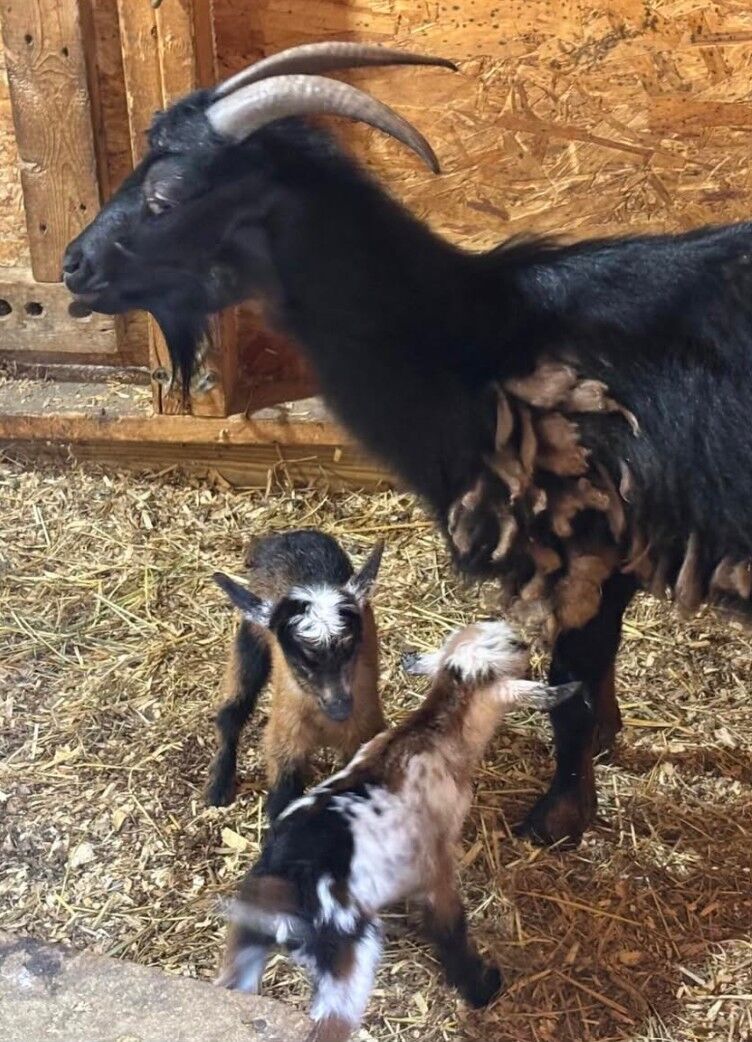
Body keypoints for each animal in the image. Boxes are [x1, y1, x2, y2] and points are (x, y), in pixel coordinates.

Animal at [207, 529, 384, 819]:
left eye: (351, 646)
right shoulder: (283, 748)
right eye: (298, 659)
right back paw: (218, 786)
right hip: (250, 640)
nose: (340, 708)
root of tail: (286, 536)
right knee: (232, 709)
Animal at [215, 619, 581, 1042]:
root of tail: (283, 890)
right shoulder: (436, 866)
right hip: (346, 966)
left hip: (241, 948)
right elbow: (450, 929)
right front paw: (481, 987)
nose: (529, 635)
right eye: (514, 645)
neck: (431, 736)